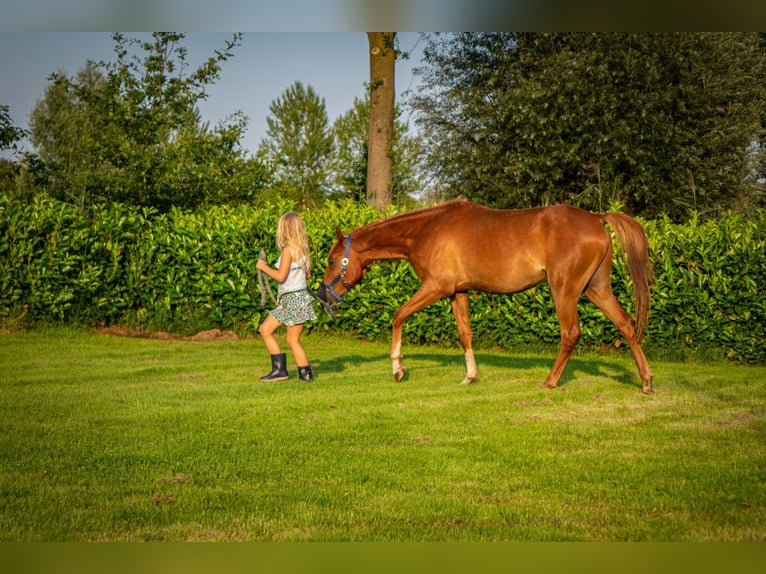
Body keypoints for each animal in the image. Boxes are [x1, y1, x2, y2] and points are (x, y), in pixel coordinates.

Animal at [316, 200, 656, 394]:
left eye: (332, 260)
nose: (322, 297)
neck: (427, 228)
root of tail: (597, 219)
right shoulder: (458, 292)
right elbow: (465, 334)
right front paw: (470, 376)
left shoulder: (436, 286)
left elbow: (398, 315)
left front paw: (398, 369)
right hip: (597, 288)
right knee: (626, 325)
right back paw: (647, 381)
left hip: (565, 289)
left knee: (571, 333)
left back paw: (550, 381)